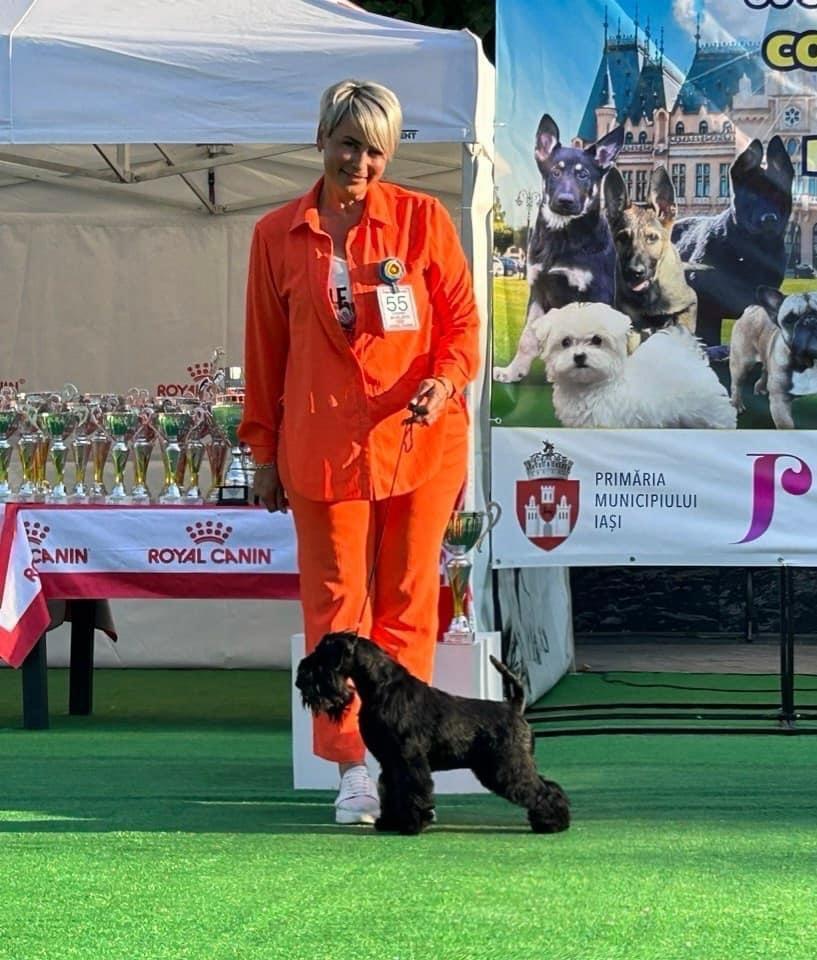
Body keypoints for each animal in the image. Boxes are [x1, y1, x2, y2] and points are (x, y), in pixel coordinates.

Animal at [296, 631, 571, 836]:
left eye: (322, 656)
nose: (300, 679)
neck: (382, 689)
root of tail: (513, 706)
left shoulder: (409, 758)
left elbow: (413, 789)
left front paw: (412, 824)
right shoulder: (390, 761)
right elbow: (391, 789)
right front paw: (391, 821)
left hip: (507, 766)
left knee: (540, 789)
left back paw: (553, 823)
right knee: (549, 785)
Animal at [493, 114, 624, 383]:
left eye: (583, 175)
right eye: (555, 171)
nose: (565, 201)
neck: (563, 237)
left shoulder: (597, 295)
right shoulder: (538, 290)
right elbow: (527, 338)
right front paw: (513, 371)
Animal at [535, 301, 737, 428]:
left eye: (597, 340)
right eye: (565, 342)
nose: (579, 357)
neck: (589, 387)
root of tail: (686, 350)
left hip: (709, 408)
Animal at [604, 165, 697, 337]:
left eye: (652, 237)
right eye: (622, 237)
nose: (634, 272)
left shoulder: (690, 302)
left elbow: (683, 326)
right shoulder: (629, 317)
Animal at [729, 287, 817, 429]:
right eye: (790, 319)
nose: (810, 320)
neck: (810, 363)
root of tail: (751, 309)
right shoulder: (780, 401)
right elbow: (786, 426)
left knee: (765, 369)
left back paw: (761, 387)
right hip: (741, 363)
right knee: (737, 384)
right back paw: (737, 405)